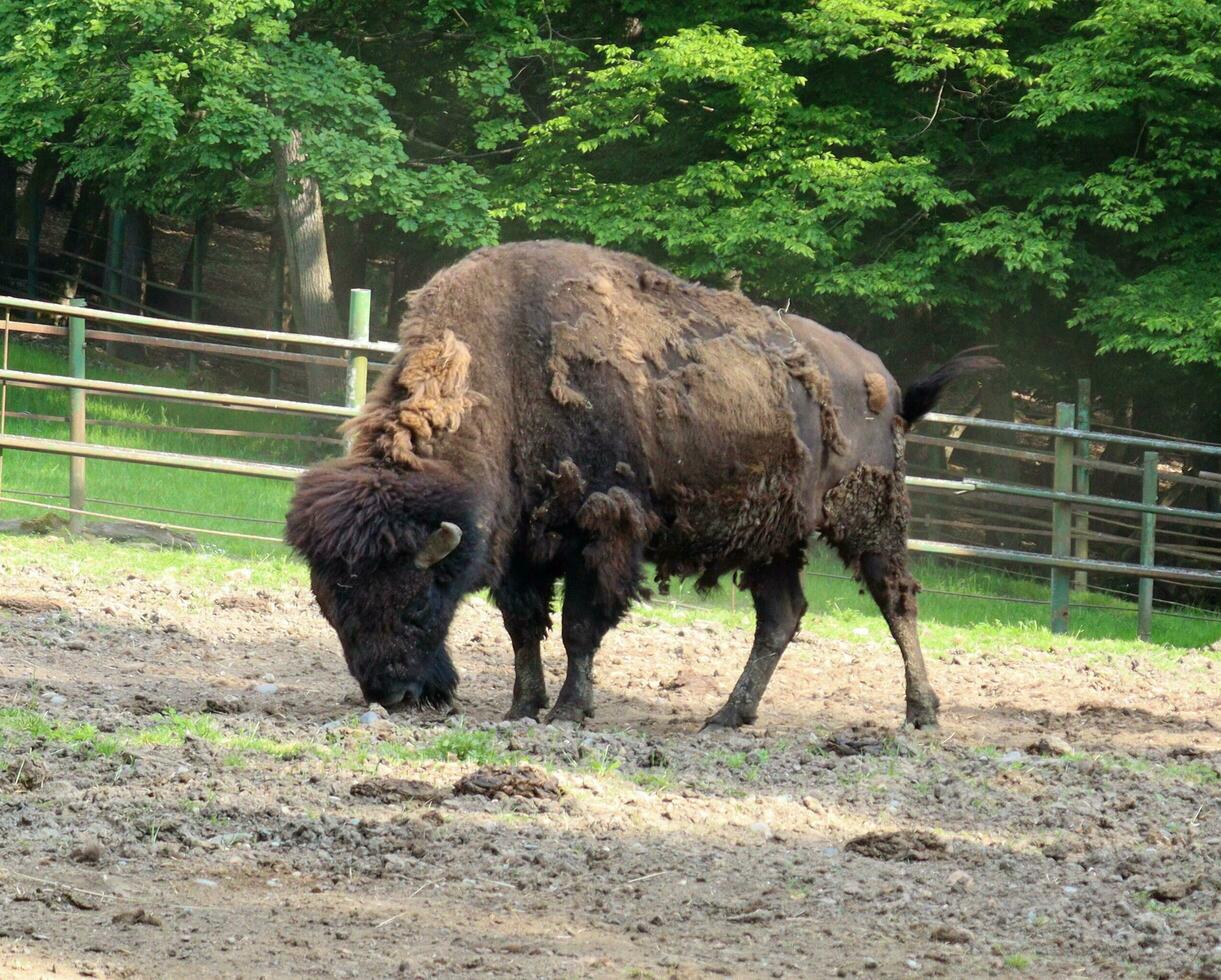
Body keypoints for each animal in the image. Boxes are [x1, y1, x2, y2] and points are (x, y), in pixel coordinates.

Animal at [285, 239, 991, 727]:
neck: (502, 378)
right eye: (334, 610)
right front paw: (522, 707)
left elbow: (579, 626)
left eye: (415, 603)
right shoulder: (524, 546)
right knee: (781, 615)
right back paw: (727, 716)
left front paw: (570, 710)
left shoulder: (604, 533)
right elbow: (523, 628)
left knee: (896, 600)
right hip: (772, 537)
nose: (396, 695)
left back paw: (922, 712)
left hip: (866, 517)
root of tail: (886, 382)